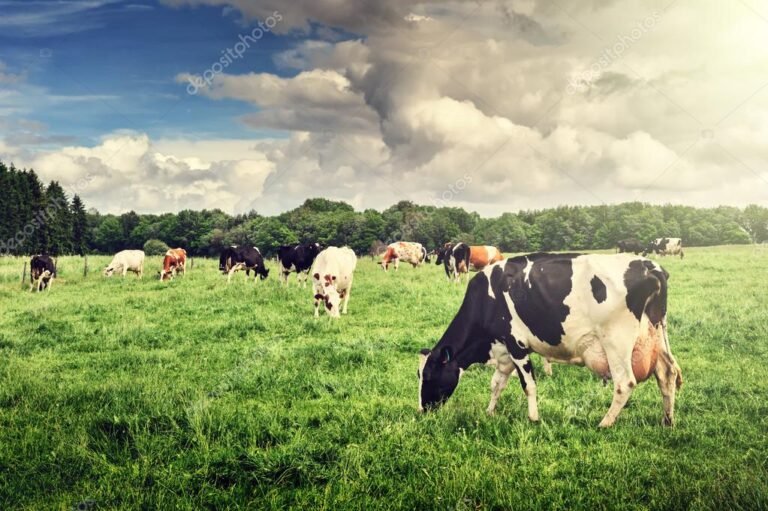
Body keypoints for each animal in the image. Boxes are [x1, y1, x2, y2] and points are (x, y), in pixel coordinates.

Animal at [417, 253, 683, 428]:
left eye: (428, 375)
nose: (422, 410)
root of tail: (649, 265)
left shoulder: (516, 344)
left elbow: (528, 385)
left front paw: (533, 418)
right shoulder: (503, 349)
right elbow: (497, 384)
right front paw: (490, 411)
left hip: (616, 341)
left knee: (625, 383)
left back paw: (604, 423)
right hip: (655, 332)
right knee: (667, 373)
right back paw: (667, 420)